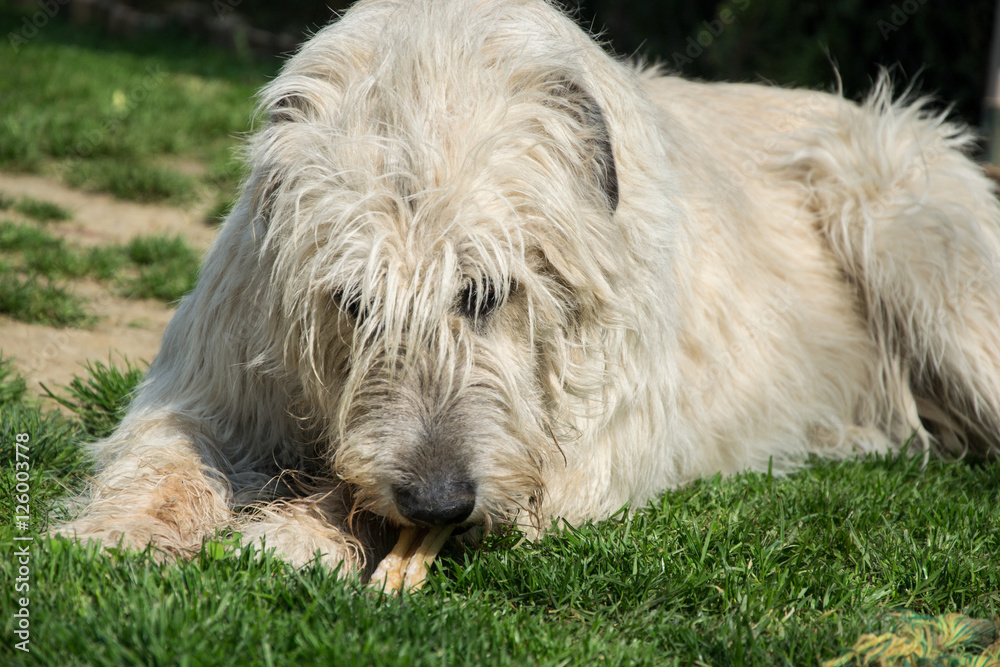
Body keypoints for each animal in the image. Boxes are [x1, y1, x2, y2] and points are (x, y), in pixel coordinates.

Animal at [58, 0, 1000, 584]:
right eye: (352, 303)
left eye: (486, 292)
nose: (439, 498)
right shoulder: (222, 364)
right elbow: (170, 445)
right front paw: (121, 530)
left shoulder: (583, 455)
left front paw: (294, 531)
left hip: (901, 224)